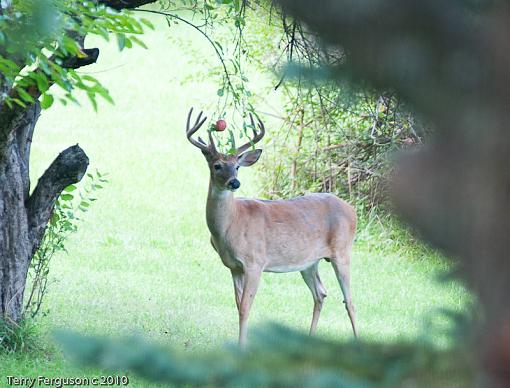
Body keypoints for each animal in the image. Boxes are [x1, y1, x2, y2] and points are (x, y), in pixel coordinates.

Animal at [185, 107, 356, 348]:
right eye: (217, 165)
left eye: (237, 166)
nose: (234, 182)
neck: (230, 226)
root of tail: (353, 210)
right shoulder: (234, 267)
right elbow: (238, 305)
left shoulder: (255, 262)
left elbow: (245, 308)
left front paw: (242, 347)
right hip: (309, 262)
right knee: (320, 293)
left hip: (342, 251)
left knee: (349, 301)